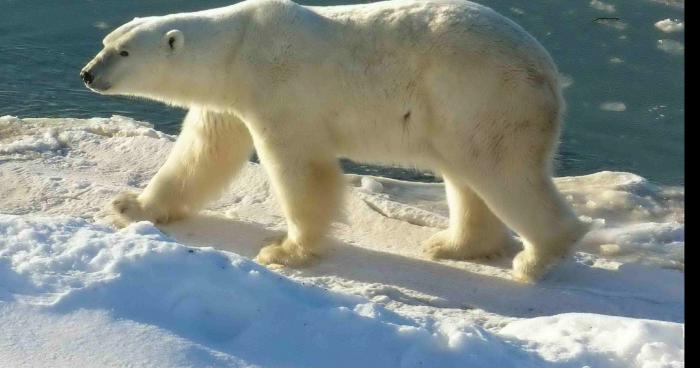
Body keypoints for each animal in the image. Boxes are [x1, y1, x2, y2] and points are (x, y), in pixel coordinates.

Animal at [80, 0, 592, 280]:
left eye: (123, 52)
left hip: (484, 96)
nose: (87, 73)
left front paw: (286, 251)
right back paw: (454, 245)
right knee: (465, 175)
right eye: (105, 42)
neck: (238, 46)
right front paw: (131, 206)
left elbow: (300, 168)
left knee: (501, 170)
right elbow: (202, 153)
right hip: (457, 112)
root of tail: (549, 70)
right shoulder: (228, 100)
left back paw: (537, 258)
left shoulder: (280, 89)